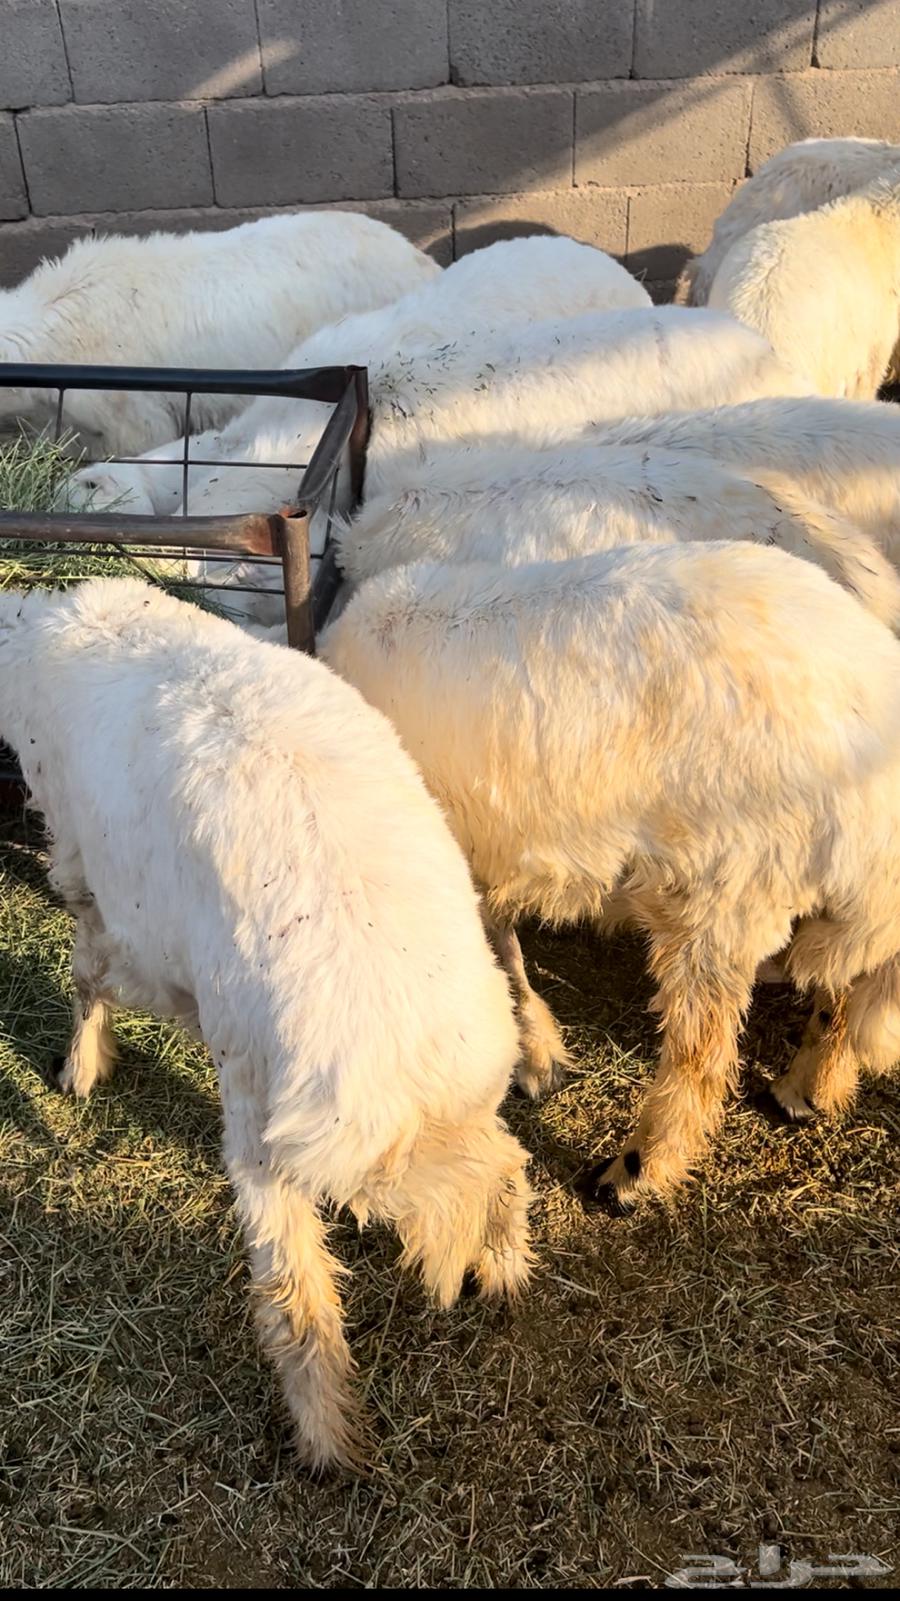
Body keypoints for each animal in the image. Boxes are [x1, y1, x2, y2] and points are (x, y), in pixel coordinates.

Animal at [0, 577, 532, 1470]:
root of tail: (401, 1080)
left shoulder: (83, 864)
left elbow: (86, 969)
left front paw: (78, 1069)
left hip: (260, 1121)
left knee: (296, 1295)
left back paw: (326, 1441)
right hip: (463, 1093)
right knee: (507, 1162)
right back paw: (503, 1265)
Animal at [321, 542, 900, 1208]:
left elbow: (494, 950)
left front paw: (531, 1053)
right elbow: (503, 947)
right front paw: (537, 1052)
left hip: (725, 888)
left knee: (701, 1055)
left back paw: (635, 1171)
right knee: (842, 982)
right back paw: (807, 1090)